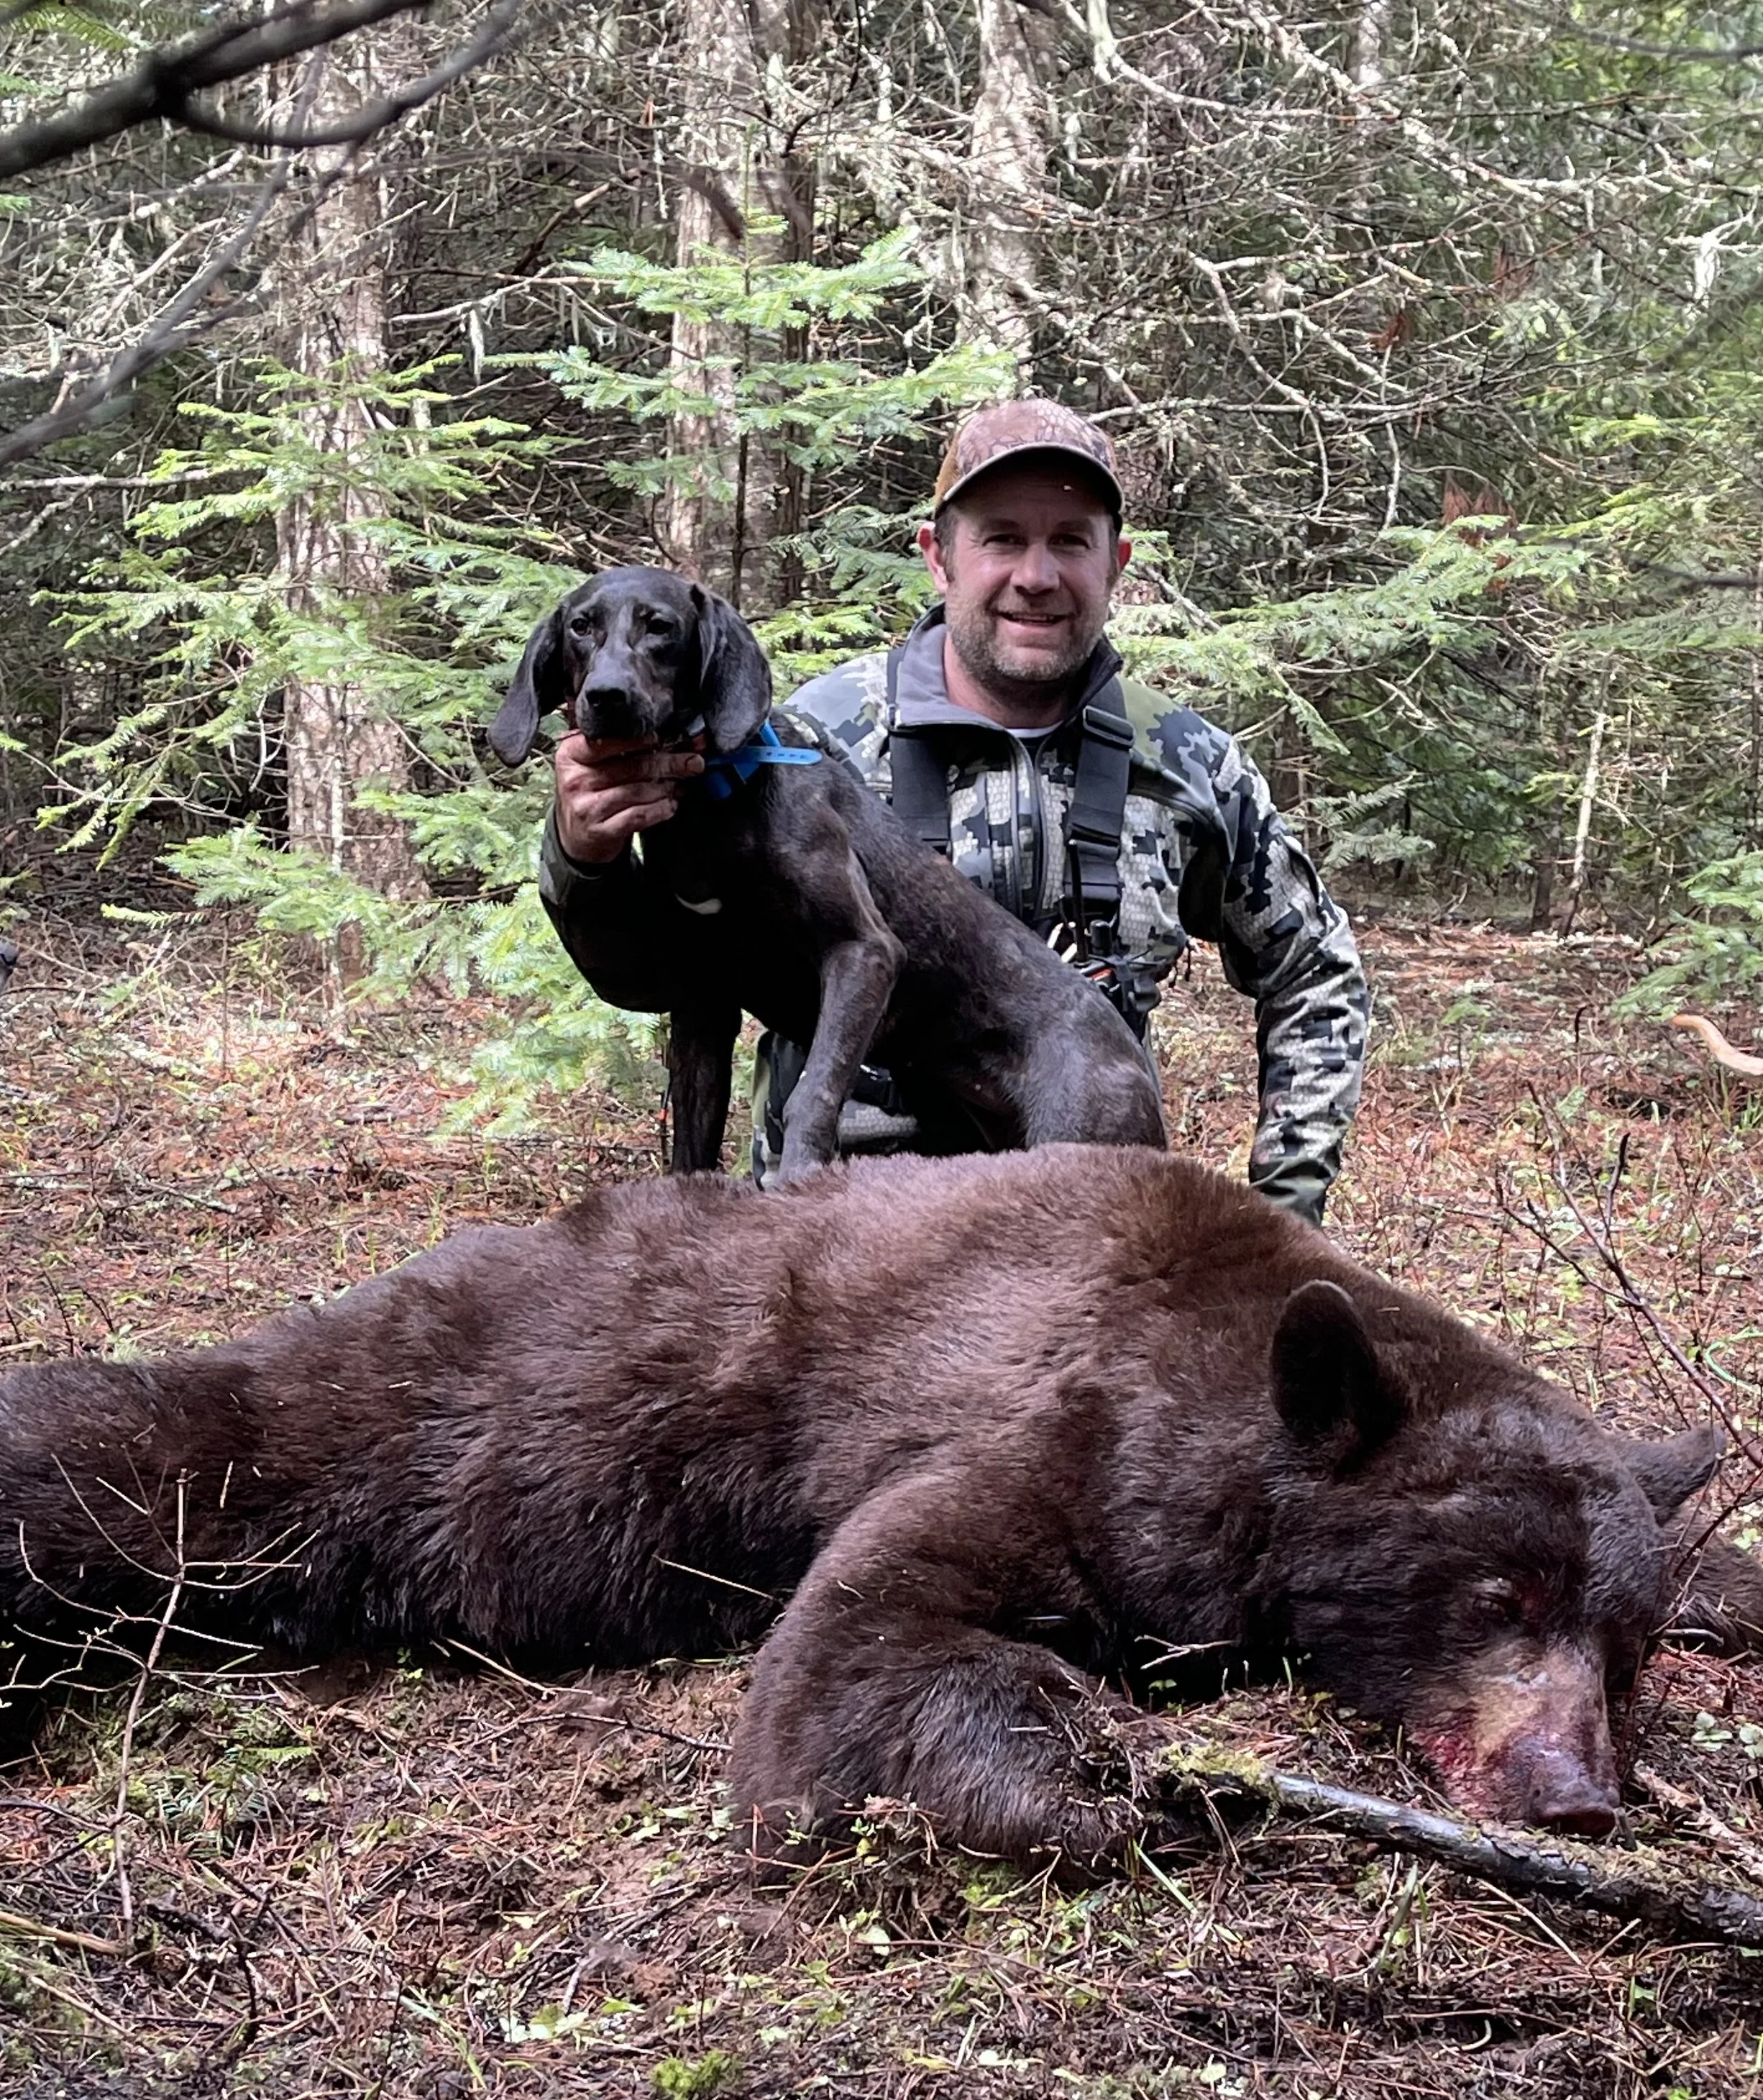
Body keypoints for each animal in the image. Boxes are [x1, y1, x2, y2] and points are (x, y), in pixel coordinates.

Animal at [1, 1144, 1758, 1865]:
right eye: (1495, 1597)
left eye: (1624, 1650)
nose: (1574, 1793)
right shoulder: (1056, 1426)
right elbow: (866, 1644)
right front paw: (1094, 1792)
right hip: (379, 1429)